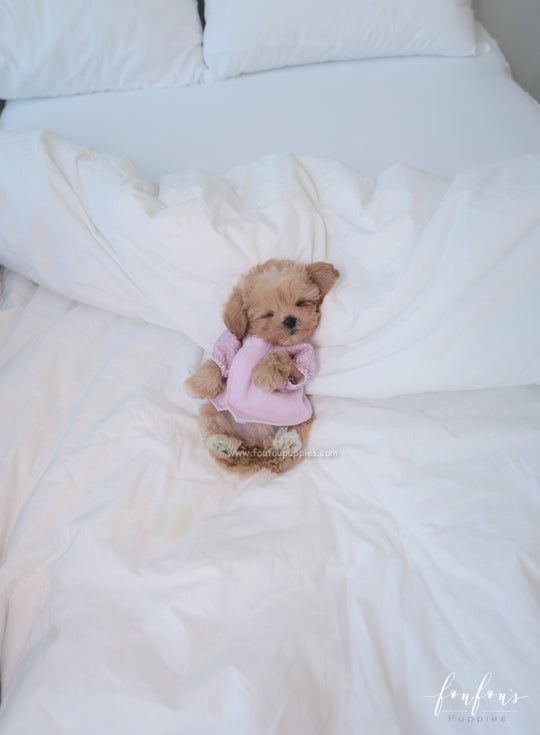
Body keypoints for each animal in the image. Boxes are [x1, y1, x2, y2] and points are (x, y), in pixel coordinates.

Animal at [186, 262, 338, 474]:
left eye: (300, 303)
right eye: (268, 315)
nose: (290, 320)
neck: (267, 341)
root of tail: (257, 448)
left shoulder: (304, 357)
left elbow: (282, 357)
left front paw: (264, 375)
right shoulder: (231, 343)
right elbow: (216, 363)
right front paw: (197, 386)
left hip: (300, 419)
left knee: (286, 448)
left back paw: (286, 441)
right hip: (213, 412)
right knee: (224, 445)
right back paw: (222, 444)